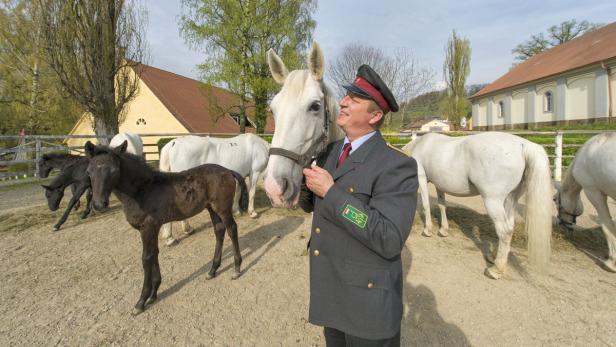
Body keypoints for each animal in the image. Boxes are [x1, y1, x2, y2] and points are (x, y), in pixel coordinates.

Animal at [85, 141, 249, 316]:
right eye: (89, 171)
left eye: (114, 171)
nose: (99, 204)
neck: (143, 190)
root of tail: (228, 171)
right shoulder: (154, 227)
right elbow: (154, 253)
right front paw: (153, 293)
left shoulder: (148, 227)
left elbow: (146, 258)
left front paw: (141, 301)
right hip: (211, 208)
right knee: (219, 230)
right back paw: (212, 270)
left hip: (222, 208)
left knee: (232, 229)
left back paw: (237, 268)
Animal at [404, 133, 552, 280]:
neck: (418, 145)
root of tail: (524, 145)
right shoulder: (439, 184)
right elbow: (442, 205)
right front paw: (443, 230)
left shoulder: (421, 178)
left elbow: (426, 204)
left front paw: (427, 230)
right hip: (510, 199)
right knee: (509, 227)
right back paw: (494, 257)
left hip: (493, 200)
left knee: (504, 231)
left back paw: (496, 270)